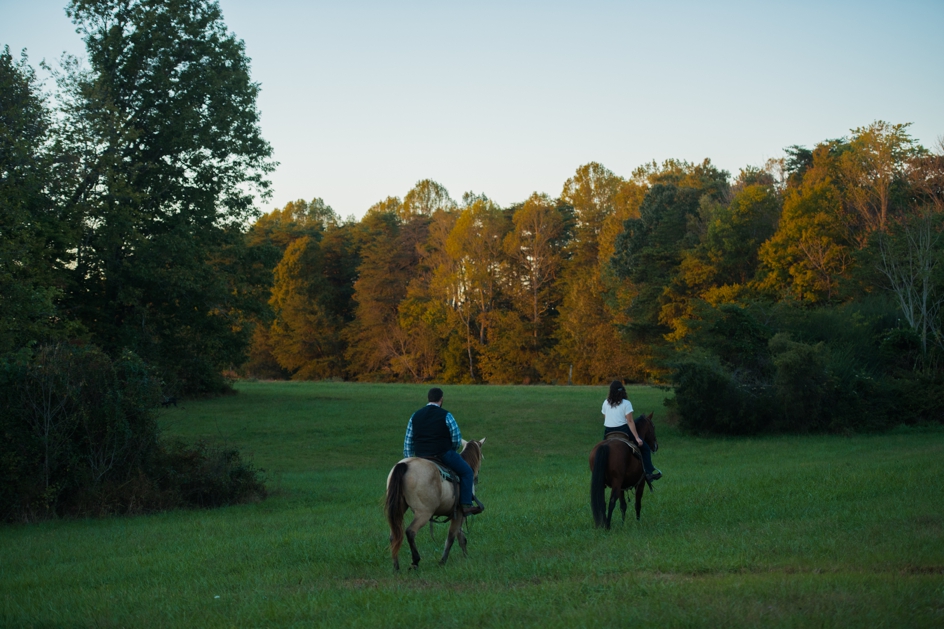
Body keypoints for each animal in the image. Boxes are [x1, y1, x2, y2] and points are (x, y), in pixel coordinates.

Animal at [384, 436, 486, 568]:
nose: (477, 477)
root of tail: (406, 464)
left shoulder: (458, 516)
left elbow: (460, 536)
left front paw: (465, 557)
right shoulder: (460, 513)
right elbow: (452, 536)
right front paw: (443, 561)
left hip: (399, 509)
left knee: (394, 535)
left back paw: (396, 567)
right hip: (424, 513)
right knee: (410, 532)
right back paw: (415, 561)